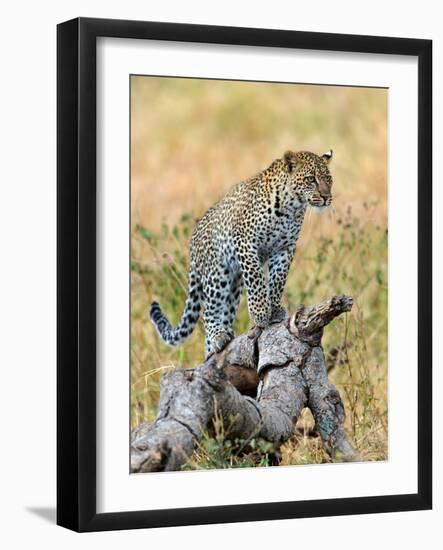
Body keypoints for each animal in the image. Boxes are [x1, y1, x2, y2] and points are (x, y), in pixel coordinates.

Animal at [149, 151, 332, 358]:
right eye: (311, 179)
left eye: (328, 179)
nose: (326, 197)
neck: (291, 208)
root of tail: (192, 243)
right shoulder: (246, 242)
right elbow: (256, 280)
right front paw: (261, 314)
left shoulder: (285, 249)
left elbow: (278, 280)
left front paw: (275, 309)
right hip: (217, 275)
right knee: (209, 311)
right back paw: (218, 336)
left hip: (233, 286)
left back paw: (215, 347)